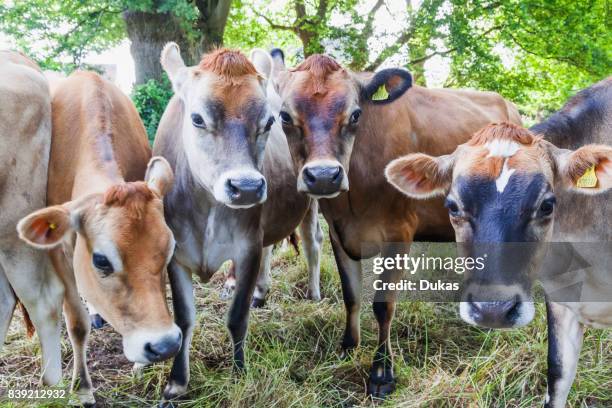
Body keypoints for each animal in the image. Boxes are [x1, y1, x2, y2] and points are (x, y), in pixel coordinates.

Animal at [15, 70, 180, 404]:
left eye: (170, 249)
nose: (165, 345)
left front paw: (140, 364)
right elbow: (77, 324)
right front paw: (82, 388)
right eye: (101, 261)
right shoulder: (60, 255)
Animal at [152, 43, 320, 402]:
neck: (207, 209)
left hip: (314, 196)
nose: (246, 187)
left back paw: (313, 293)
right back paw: (263, 292)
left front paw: (240, 372)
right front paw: (177, 382)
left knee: (313, 244)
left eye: (268, 120)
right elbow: (184, 319)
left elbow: (237, 317)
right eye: (197, 118)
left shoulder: (247, 247)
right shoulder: (176, 254)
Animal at [272, 51, 520, 398]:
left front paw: (381, 372)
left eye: (356, 114)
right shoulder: (339, 231)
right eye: (284, 116)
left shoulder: (399, 232)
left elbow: (383, 305)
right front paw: (348, 347)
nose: (323, 176)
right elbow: (351, 295)